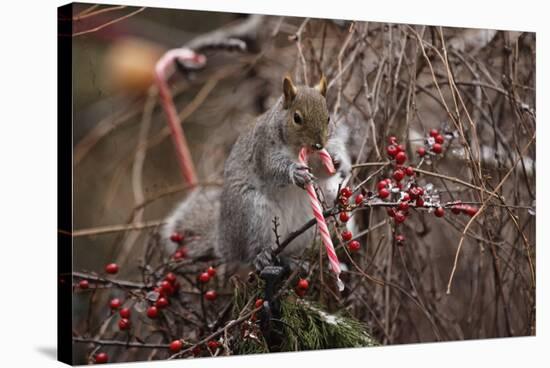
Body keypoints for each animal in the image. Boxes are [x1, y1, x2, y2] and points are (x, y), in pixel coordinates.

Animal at [164, 74, 354, 270]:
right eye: (297, 118)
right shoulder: (262, 150)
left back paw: (295, 262)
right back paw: (261, 256)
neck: (298, 150)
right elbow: (271, 169)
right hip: (252, 212)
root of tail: (225, 243)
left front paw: (338, 162)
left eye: (328, 118)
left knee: (286, 252)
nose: (318, 145)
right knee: (250, 253)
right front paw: (296, 173)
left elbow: (324, 172)